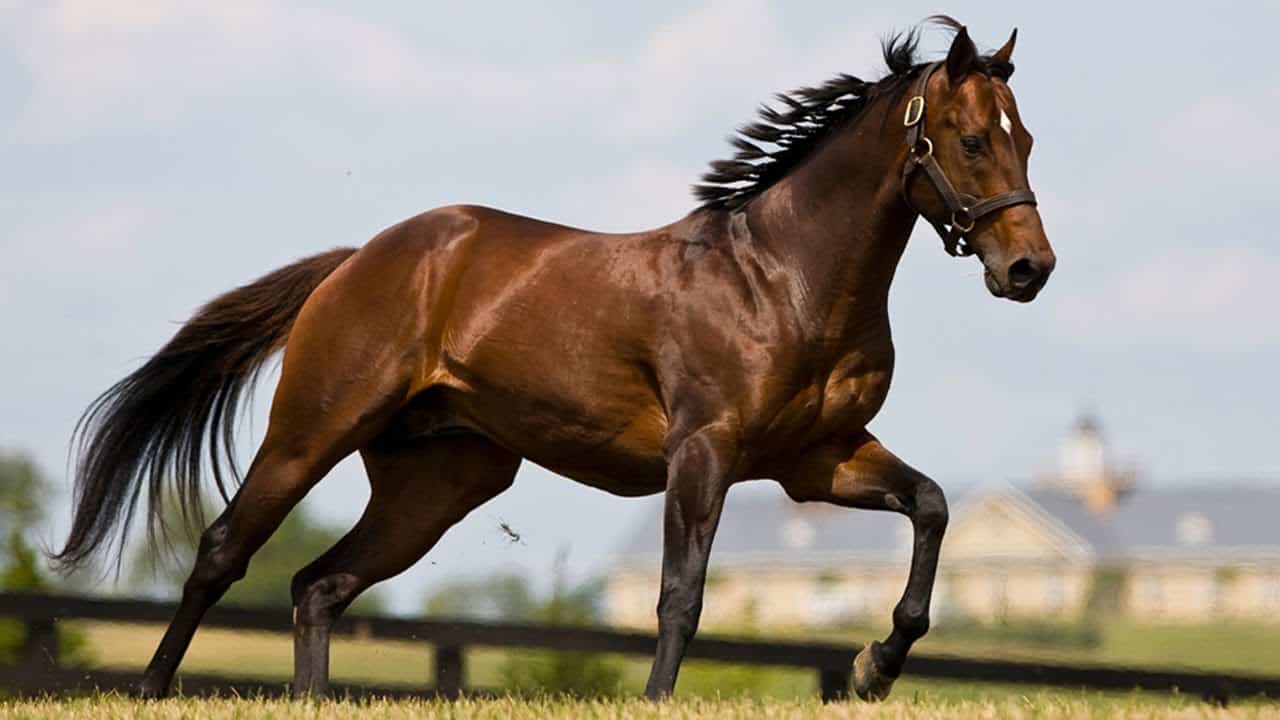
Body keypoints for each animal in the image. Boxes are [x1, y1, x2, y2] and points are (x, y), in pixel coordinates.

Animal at [55, 17, 1054, 701]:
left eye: (1028, 138)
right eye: (973, 139)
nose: (1029, 269)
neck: (781, 279)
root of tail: (357, 261)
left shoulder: (818, 460)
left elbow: (931, 506)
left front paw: (874, 666)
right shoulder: (706, 451)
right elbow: (680, 594)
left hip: (441, 482)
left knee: (317, 585)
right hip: (313, 431)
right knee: (224, 552)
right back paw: (150, 691)